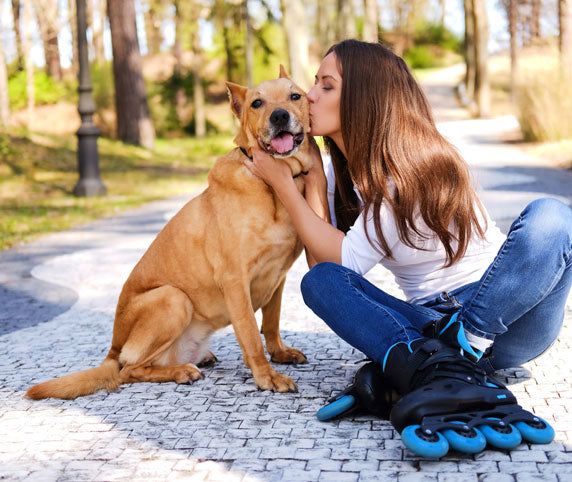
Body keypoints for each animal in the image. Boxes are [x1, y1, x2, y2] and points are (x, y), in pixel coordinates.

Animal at [26, 66, 312, 399]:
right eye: (257, 103)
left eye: (295, 96)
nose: (279, 116)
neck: (272, 185)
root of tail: (112, 349)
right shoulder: (235, 280)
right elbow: (251, 334)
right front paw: (266, 375)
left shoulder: (277, 277)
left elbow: (271, 323)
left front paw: (280, 353)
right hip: (173, 298)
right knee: (129, 371)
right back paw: (180, 371)